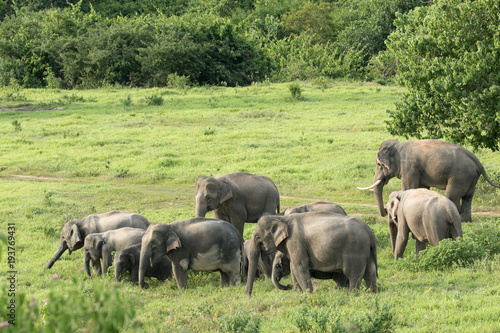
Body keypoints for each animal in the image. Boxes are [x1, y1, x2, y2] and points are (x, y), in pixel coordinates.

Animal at [244, 211, 376, 294]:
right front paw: (299, 293)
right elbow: (294, 268)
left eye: (257, 237)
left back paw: (352, 295)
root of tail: (369, 231)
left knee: (354, 275)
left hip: (356, 251)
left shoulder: (295, 241)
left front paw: (308, 295)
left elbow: (299, 266)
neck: (281, 218)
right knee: (370, 273)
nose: (248, 296)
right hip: (367, 252)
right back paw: (371, 295)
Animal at [360, 139, 500, 220]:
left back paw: (458, 219)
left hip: (461, 175)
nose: (384, 212)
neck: (398, 144)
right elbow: (422, 188)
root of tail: (477, 161)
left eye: (379, 165)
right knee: (468, 197)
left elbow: (408, 187)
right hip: (471, 178)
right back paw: (466, 220)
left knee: (452, 195)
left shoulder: (409, 167)